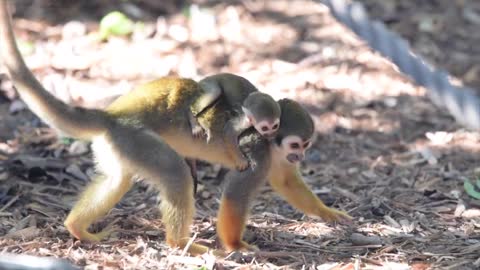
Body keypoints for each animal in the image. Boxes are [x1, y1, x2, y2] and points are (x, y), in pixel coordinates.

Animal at [0, 0, 352, 255]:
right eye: (295, 145)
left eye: (305, 145)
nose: (300, 157)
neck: (271, 144)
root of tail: (114, 116)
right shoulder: (259, 152)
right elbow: (236, 194)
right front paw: (236, 245)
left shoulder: (273, 156)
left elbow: (286, 181)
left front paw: (328, 214)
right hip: (138, 140)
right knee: (174, 173)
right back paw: (180, 243)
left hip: (120, 144)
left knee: (118, 178)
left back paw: (77, 228)